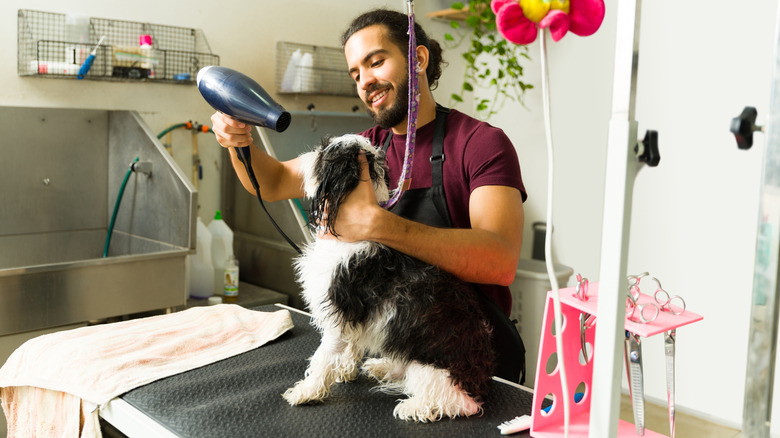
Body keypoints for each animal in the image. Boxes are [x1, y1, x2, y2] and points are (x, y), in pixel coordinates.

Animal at [284, 134, 496, 420]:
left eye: (322, 150)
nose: (303, 157)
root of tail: (479, 385)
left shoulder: (337, 314)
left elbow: (323, 357)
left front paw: (307, 391)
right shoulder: (353, 317)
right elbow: (351, 346)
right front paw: (345, 370)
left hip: (430, 369)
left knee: (457, 404)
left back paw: (414, 406)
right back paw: (383, 368)